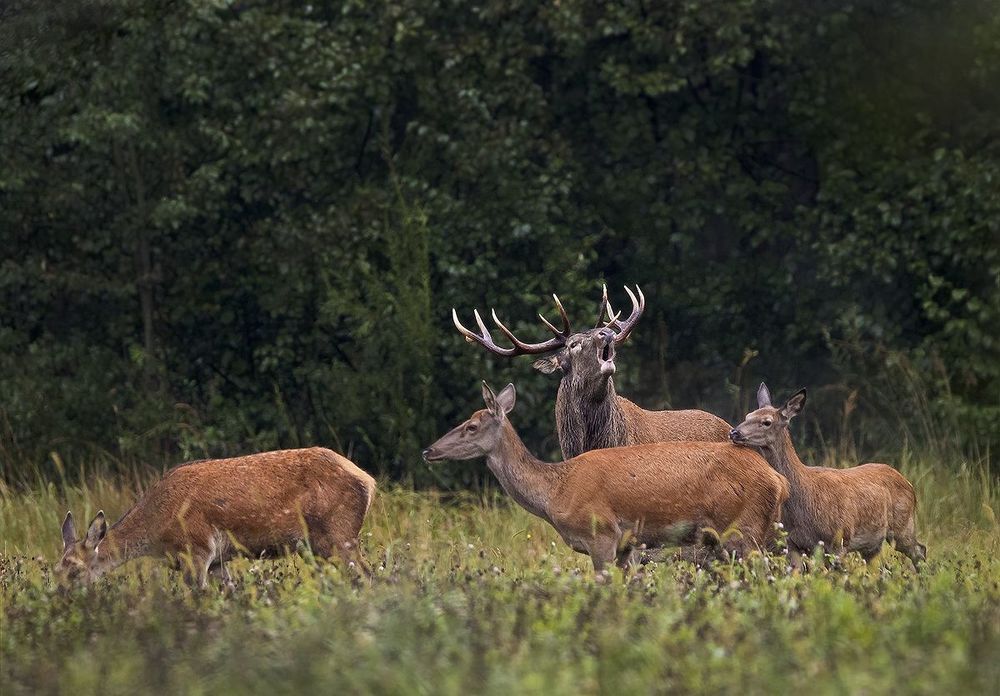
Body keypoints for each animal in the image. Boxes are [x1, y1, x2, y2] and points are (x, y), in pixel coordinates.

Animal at [57, 447, 376, 588]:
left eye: (75, 570)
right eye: (57, 568)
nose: (57, 596)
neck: (158, 532)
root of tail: (369, 481)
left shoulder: (196, 548)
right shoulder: (218, 561)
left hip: (340, 533)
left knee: (367, 575)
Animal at [423, 382, 789, 571]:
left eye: (472, 426)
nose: (429, 450)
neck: (556, 491)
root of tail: (778, 480)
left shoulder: (601, 534)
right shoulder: (627, 546)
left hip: (742, 529)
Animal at [729, 383, 926, 569]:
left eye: (767, 422)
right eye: (748, 416)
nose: (734, 432)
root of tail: (909, 484)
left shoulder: (838, 540)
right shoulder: (793, 543)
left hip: (903, 526)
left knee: (920, 550)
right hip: (872, 544)